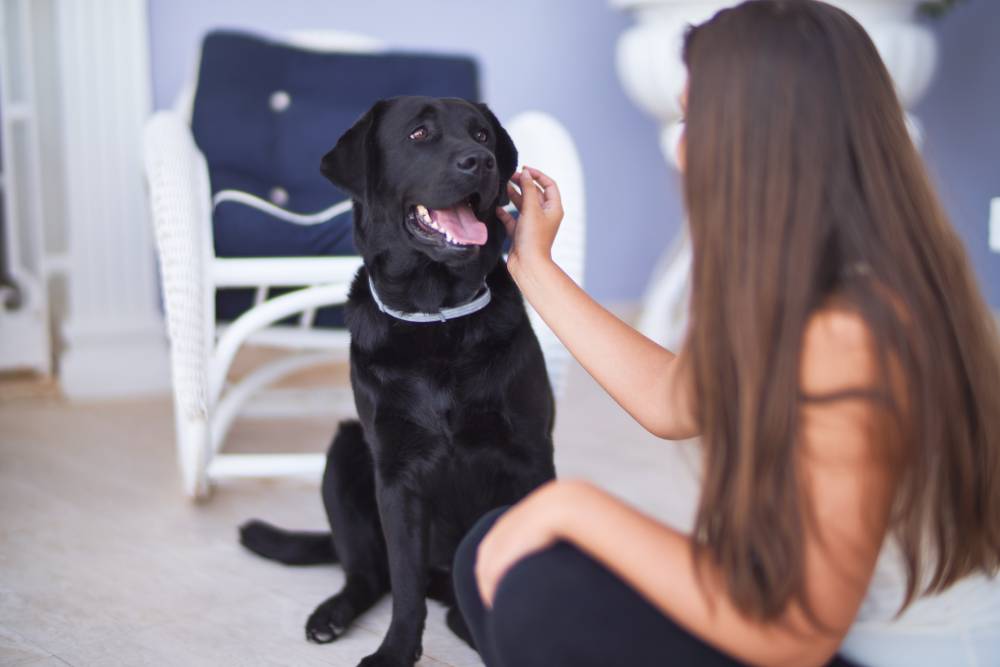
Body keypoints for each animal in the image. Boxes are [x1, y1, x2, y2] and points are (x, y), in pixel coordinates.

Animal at [239, 98, 560, 667]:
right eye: (419, 134)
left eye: (482, 134)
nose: (481, 162)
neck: (436, 318)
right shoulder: (395, 472)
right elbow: (405, 583)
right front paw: (394, 651)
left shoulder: (530, 453)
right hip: (344, 452)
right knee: (369, 575)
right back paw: (332, 614)